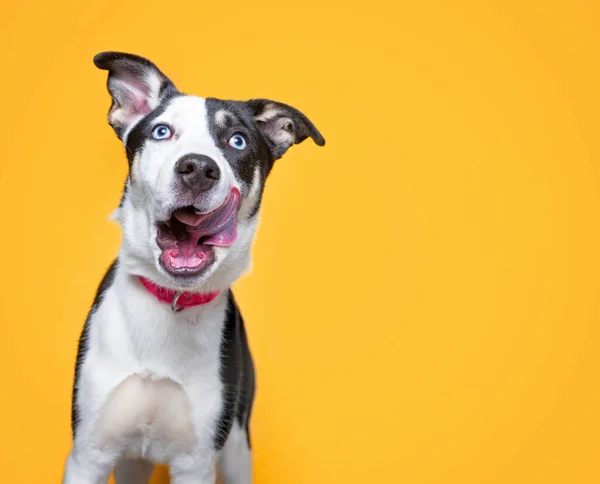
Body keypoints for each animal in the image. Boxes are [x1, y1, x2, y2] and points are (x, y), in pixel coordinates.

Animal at [62, 53, 324, 484]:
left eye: (237, 141)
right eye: (162, 132)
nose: (199, 168)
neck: (170, 299)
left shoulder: (196, 461)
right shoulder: (88, 454)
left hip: (237, 449)